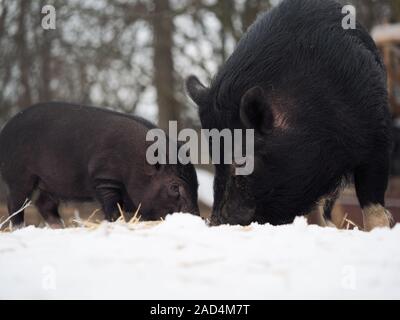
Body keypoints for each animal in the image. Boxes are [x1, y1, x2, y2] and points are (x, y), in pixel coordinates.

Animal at [0, 102, 200, 228]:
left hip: (47, 184)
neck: (134, 166)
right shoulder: (104, 177)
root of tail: (4, 130)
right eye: (174, 187)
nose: (198, 218)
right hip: (19, 177)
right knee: (15, 204)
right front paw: (116, 223)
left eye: (197, 185)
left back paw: (60, 227)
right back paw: (19, 227)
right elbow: (112, 208)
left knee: (45, 205)